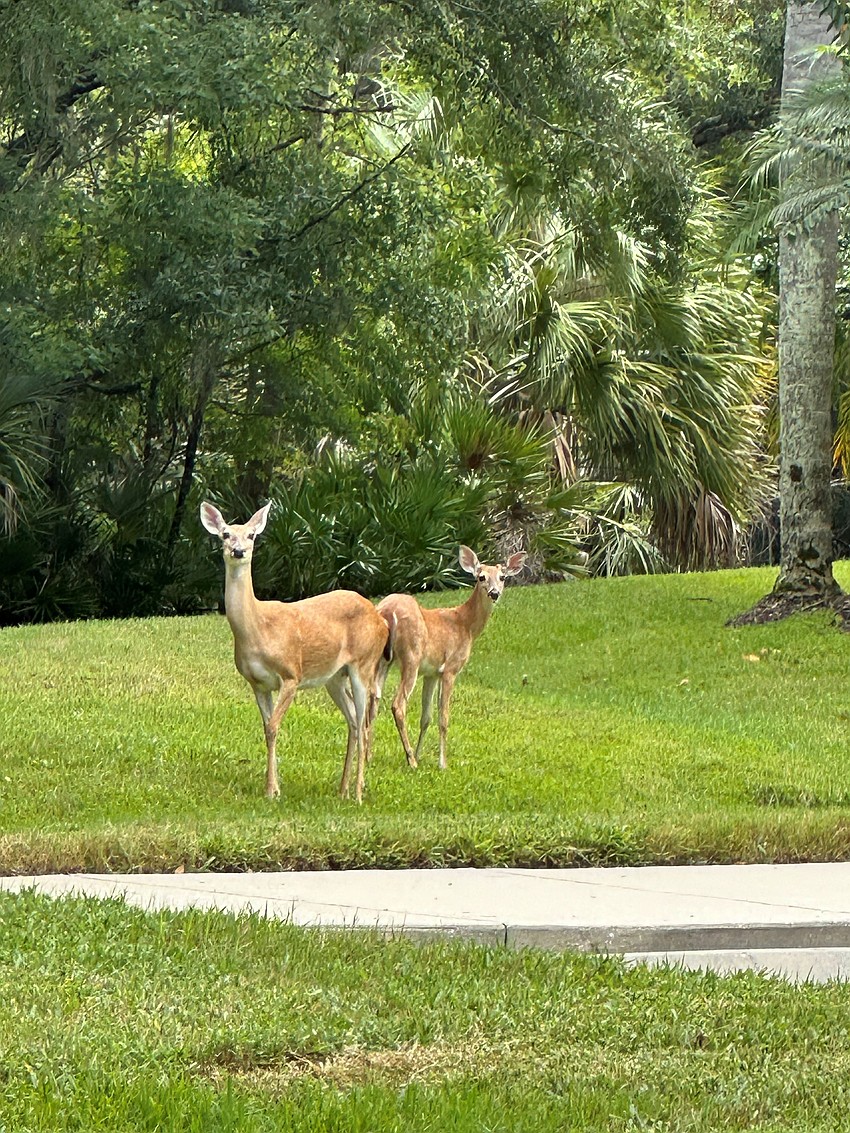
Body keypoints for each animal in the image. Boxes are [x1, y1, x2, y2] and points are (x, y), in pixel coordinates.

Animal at [200, 501, 389, 804]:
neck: (258, 630)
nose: (238, 551)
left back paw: (359, 793)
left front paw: (270, 790)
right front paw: (275, 787)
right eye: (225, 534)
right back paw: (342, 790)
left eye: (252, 535)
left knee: (363, 722)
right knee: (352, 720)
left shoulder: (291, 674)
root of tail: (381, 620)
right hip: (335, 677)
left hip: (364, 663)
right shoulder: (257, 683)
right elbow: (267, 728)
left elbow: (273, 726)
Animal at [374, 545, 527, 770]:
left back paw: (370, 756)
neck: (466, 625)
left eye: (502, 577)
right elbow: (443, 718)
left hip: (384, 660)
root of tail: (386, 611)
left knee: (372, 700)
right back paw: (410, 760)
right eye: (481, 577)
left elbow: (426, 717)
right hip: (411, 657)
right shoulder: (450, 669)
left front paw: (420, 754)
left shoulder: (431, 673)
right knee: (397, 705)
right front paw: (442, 763)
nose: (494, 593)